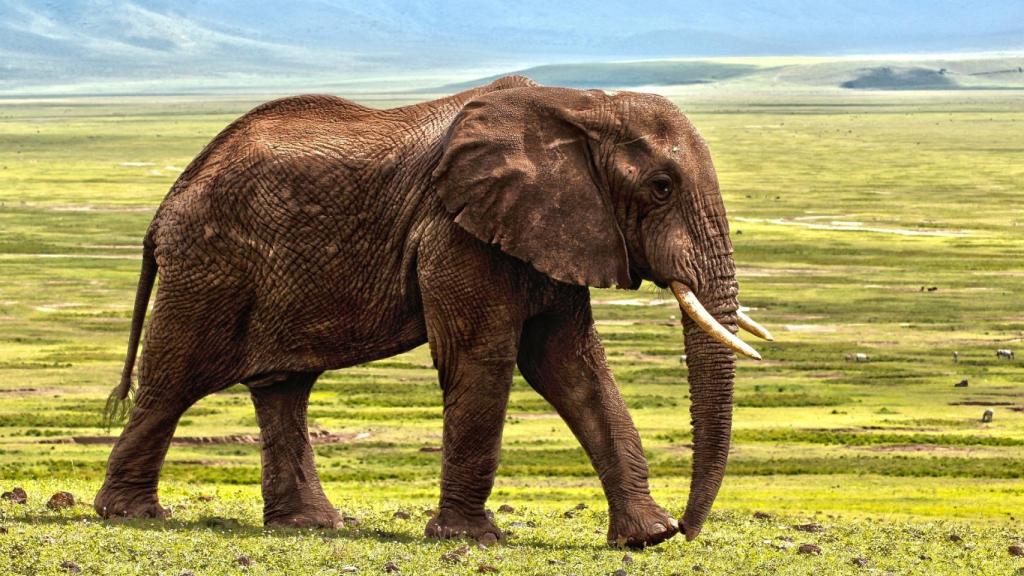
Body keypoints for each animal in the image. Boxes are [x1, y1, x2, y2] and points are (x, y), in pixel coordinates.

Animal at [94, 75, 771, 548]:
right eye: (661, 187)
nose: (689, 529)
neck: (580, 104)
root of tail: (167, 203)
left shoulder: (552, 229)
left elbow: (572, 367)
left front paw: (645, 538)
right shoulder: (455, 231)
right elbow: (484, 359)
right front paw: (474, 539)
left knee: (283, 387)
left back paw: (311, 527)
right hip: (208, 265)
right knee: (174, 380)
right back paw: (132, 515)